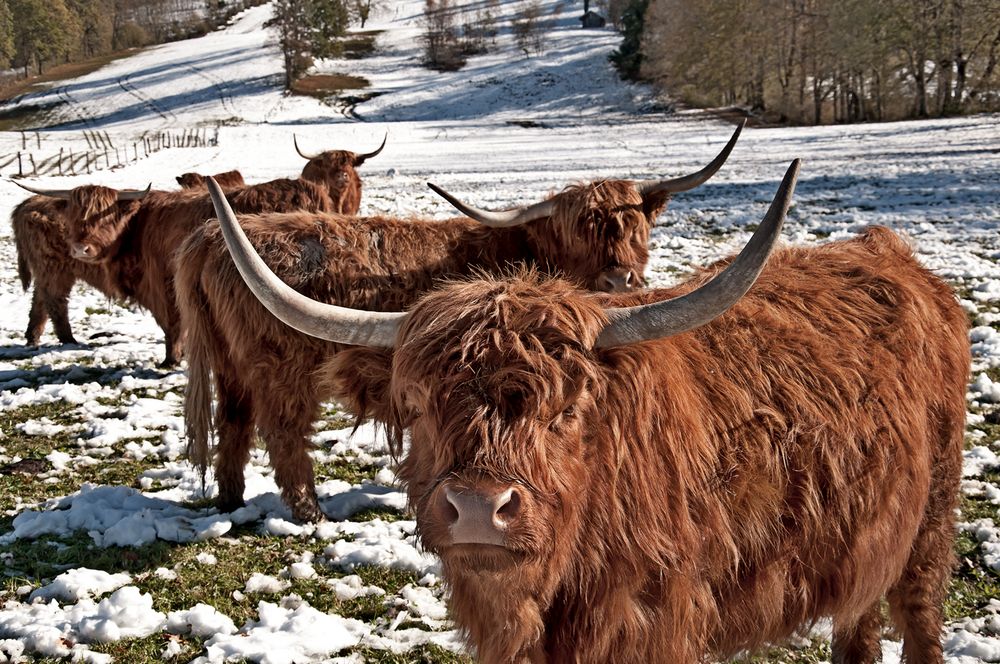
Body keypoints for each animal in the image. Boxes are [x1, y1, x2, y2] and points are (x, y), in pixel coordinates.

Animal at [180, 123, 744, 520]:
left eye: (634, 225)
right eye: (577, 230)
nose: (619, 280)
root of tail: (211, 236)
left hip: (231, 365)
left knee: (233, 422)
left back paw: (231, 501)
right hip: (281, 367)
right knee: (283, 431)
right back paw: (308, 511)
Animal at [219, 162, 968, 664]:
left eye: (566, 409)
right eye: (420, 404)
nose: (478, 508)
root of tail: (887, 251)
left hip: (930, 523)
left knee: (919, 614)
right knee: (859, 620)